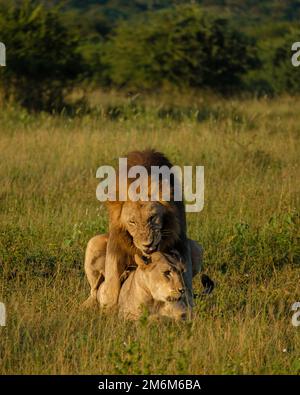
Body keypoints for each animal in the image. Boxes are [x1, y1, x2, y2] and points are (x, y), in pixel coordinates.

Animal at [99, 150, 196, 308]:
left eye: (152, 218)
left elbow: (185, 281)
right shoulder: (116, 245)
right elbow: (112, 284)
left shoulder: (180, 243)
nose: (147, 244)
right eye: (132, 222)